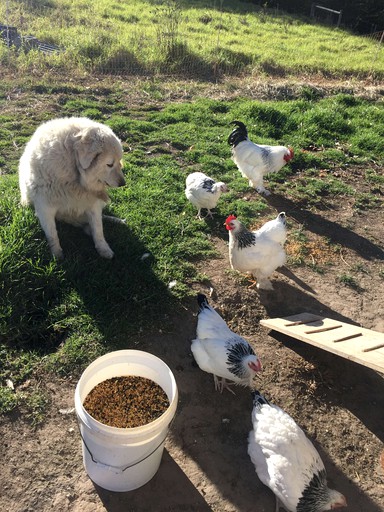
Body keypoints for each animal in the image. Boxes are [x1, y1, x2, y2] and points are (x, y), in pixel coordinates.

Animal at [18, 116, 125, 260]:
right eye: (109, 164)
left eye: (119, 162)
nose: (123, 183)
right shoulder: (45, 208)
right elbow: (52, 234)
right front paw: (57, 254)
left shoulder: (92, 204)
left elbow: (98, 229)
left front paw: (104, 249)